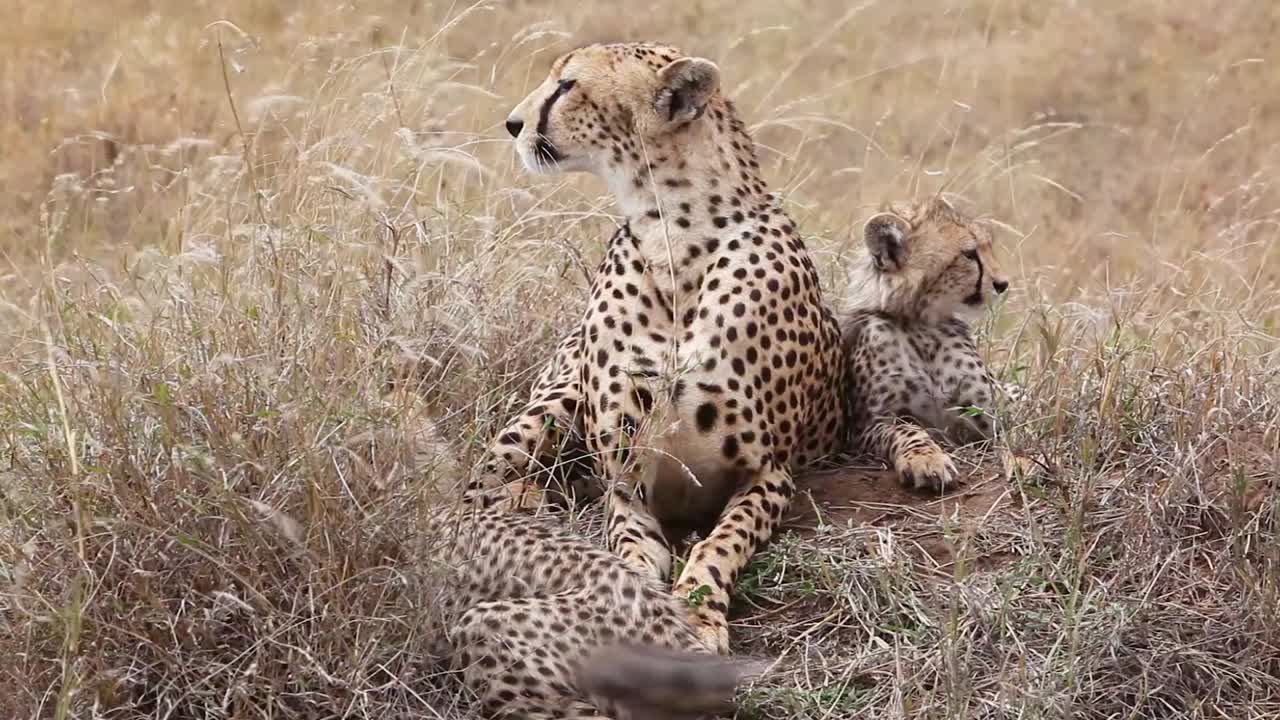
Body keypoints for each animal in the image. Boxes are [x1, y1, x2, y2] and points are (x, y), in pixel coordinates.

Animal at [838, 195, 1010, 489]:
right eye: (969, 254)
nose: (1003, 284)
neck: (921, 325)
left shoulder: (986, 415)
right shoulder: (870, 423)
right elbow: (908, 429)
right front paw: (927, 460)